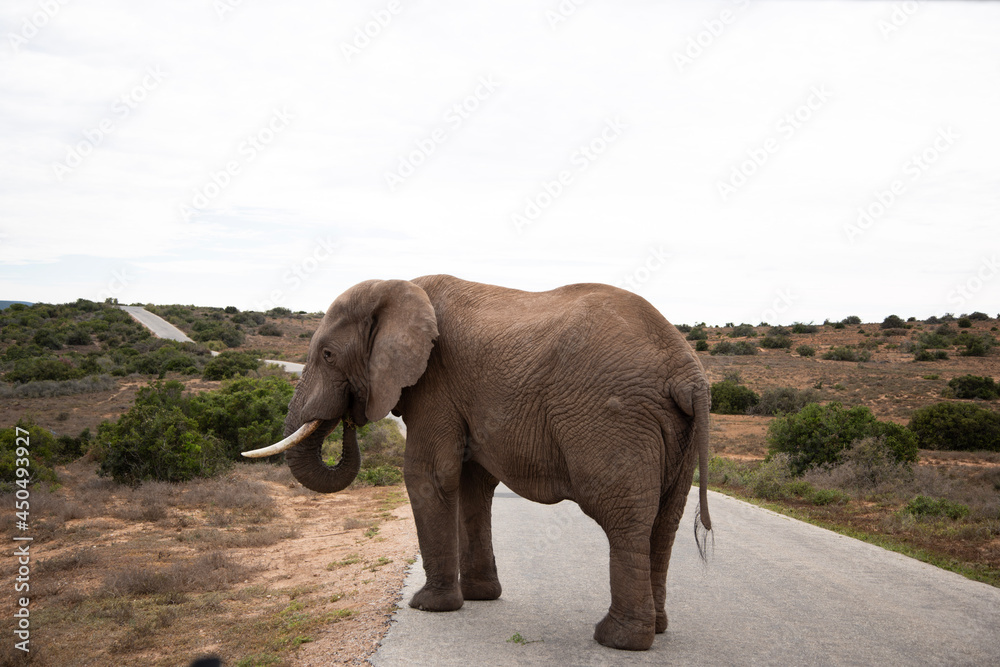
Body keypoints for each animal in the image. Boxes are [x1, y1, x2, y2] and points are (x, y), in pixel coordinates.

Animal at [244, 274, 712, 651]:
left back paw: (618, 640)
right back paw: (657, 628)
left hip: (613, 416)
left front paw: (429, 606)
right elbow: (470, 484)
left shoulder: (435, 381)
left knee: (623, 518)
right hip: (672, 430)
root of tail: (687, 372)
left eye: (326, 355)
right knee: (664, 521)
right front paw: (478, 597)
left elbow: (428, 475)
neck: (398, 288)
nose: (349, 416)